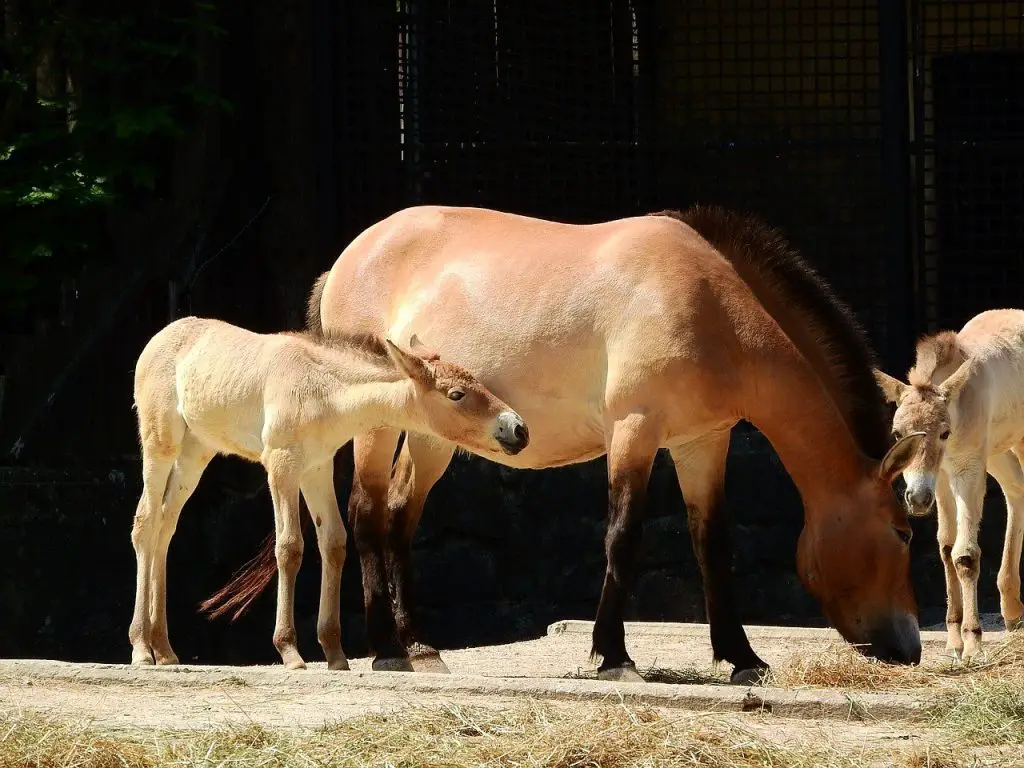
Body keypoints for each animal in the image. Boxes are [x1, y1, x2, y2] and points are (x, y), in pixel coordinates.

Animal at [130, 315, 528, 671]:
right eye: (456, 394)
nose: (518, 429)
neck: (322, 390)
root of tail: (159, 337)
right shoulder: (281, 466)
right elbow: (290, 547)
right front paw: (289, 651)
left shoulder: (317, 468)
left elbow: (334, 543)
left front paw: (335, 654)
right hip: (160, 444)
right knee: (145, 523)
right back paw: (141, 648)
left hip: (196, 452)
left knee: (166, 526)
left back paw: (164, 649)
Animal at [203, 205, 925, 684]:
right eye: (902, 531)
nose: (910, 646)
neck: (708, 303)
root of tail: (348, 259)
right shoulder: (635, 432)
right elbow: (622, 538)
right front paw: (613, 655)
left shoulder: (702, 442)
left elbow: (712, 546)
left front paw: (742, 658)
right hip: (380, 426)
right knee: (367, 512)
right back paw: (385, 648)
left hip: (435, 438)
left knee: (399, 515)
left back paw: (419, 646)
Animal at [876, 309, 1024, 663]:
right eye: (898, 433)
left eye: (943, 432)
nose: (916, 499)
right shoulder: (941, 477)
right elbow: (946, 548)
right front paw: (954, 641)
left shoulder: (967, 470)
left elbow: (965, 555)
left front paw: (972, 642)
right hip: (997, 452)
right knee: (1017, 491)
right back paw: (1012, 610)